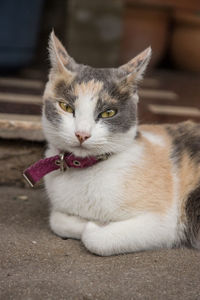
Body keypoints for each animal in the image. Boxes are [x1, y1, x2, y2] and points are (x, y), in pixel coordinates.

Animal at [41, 31, 200, 255]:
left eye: (109, 113)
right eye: (66, 107)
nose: (82, 134)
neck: (87, 170)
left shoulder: (162, 223)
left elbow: (94, 238)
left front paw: (94, 225)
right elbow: (56, 220)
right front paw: (87, 222)